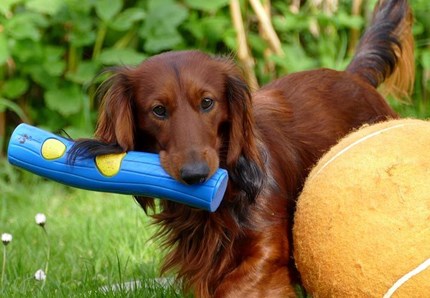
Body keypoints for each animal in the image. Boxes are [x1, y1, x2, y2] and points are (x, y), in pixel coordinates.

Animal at [70, 1, 414, 296]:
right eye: (158, 110)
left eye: (207, 102)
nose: (195, 175)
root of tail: (355, 78)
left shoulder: (267, 250)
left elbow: (238, 285)